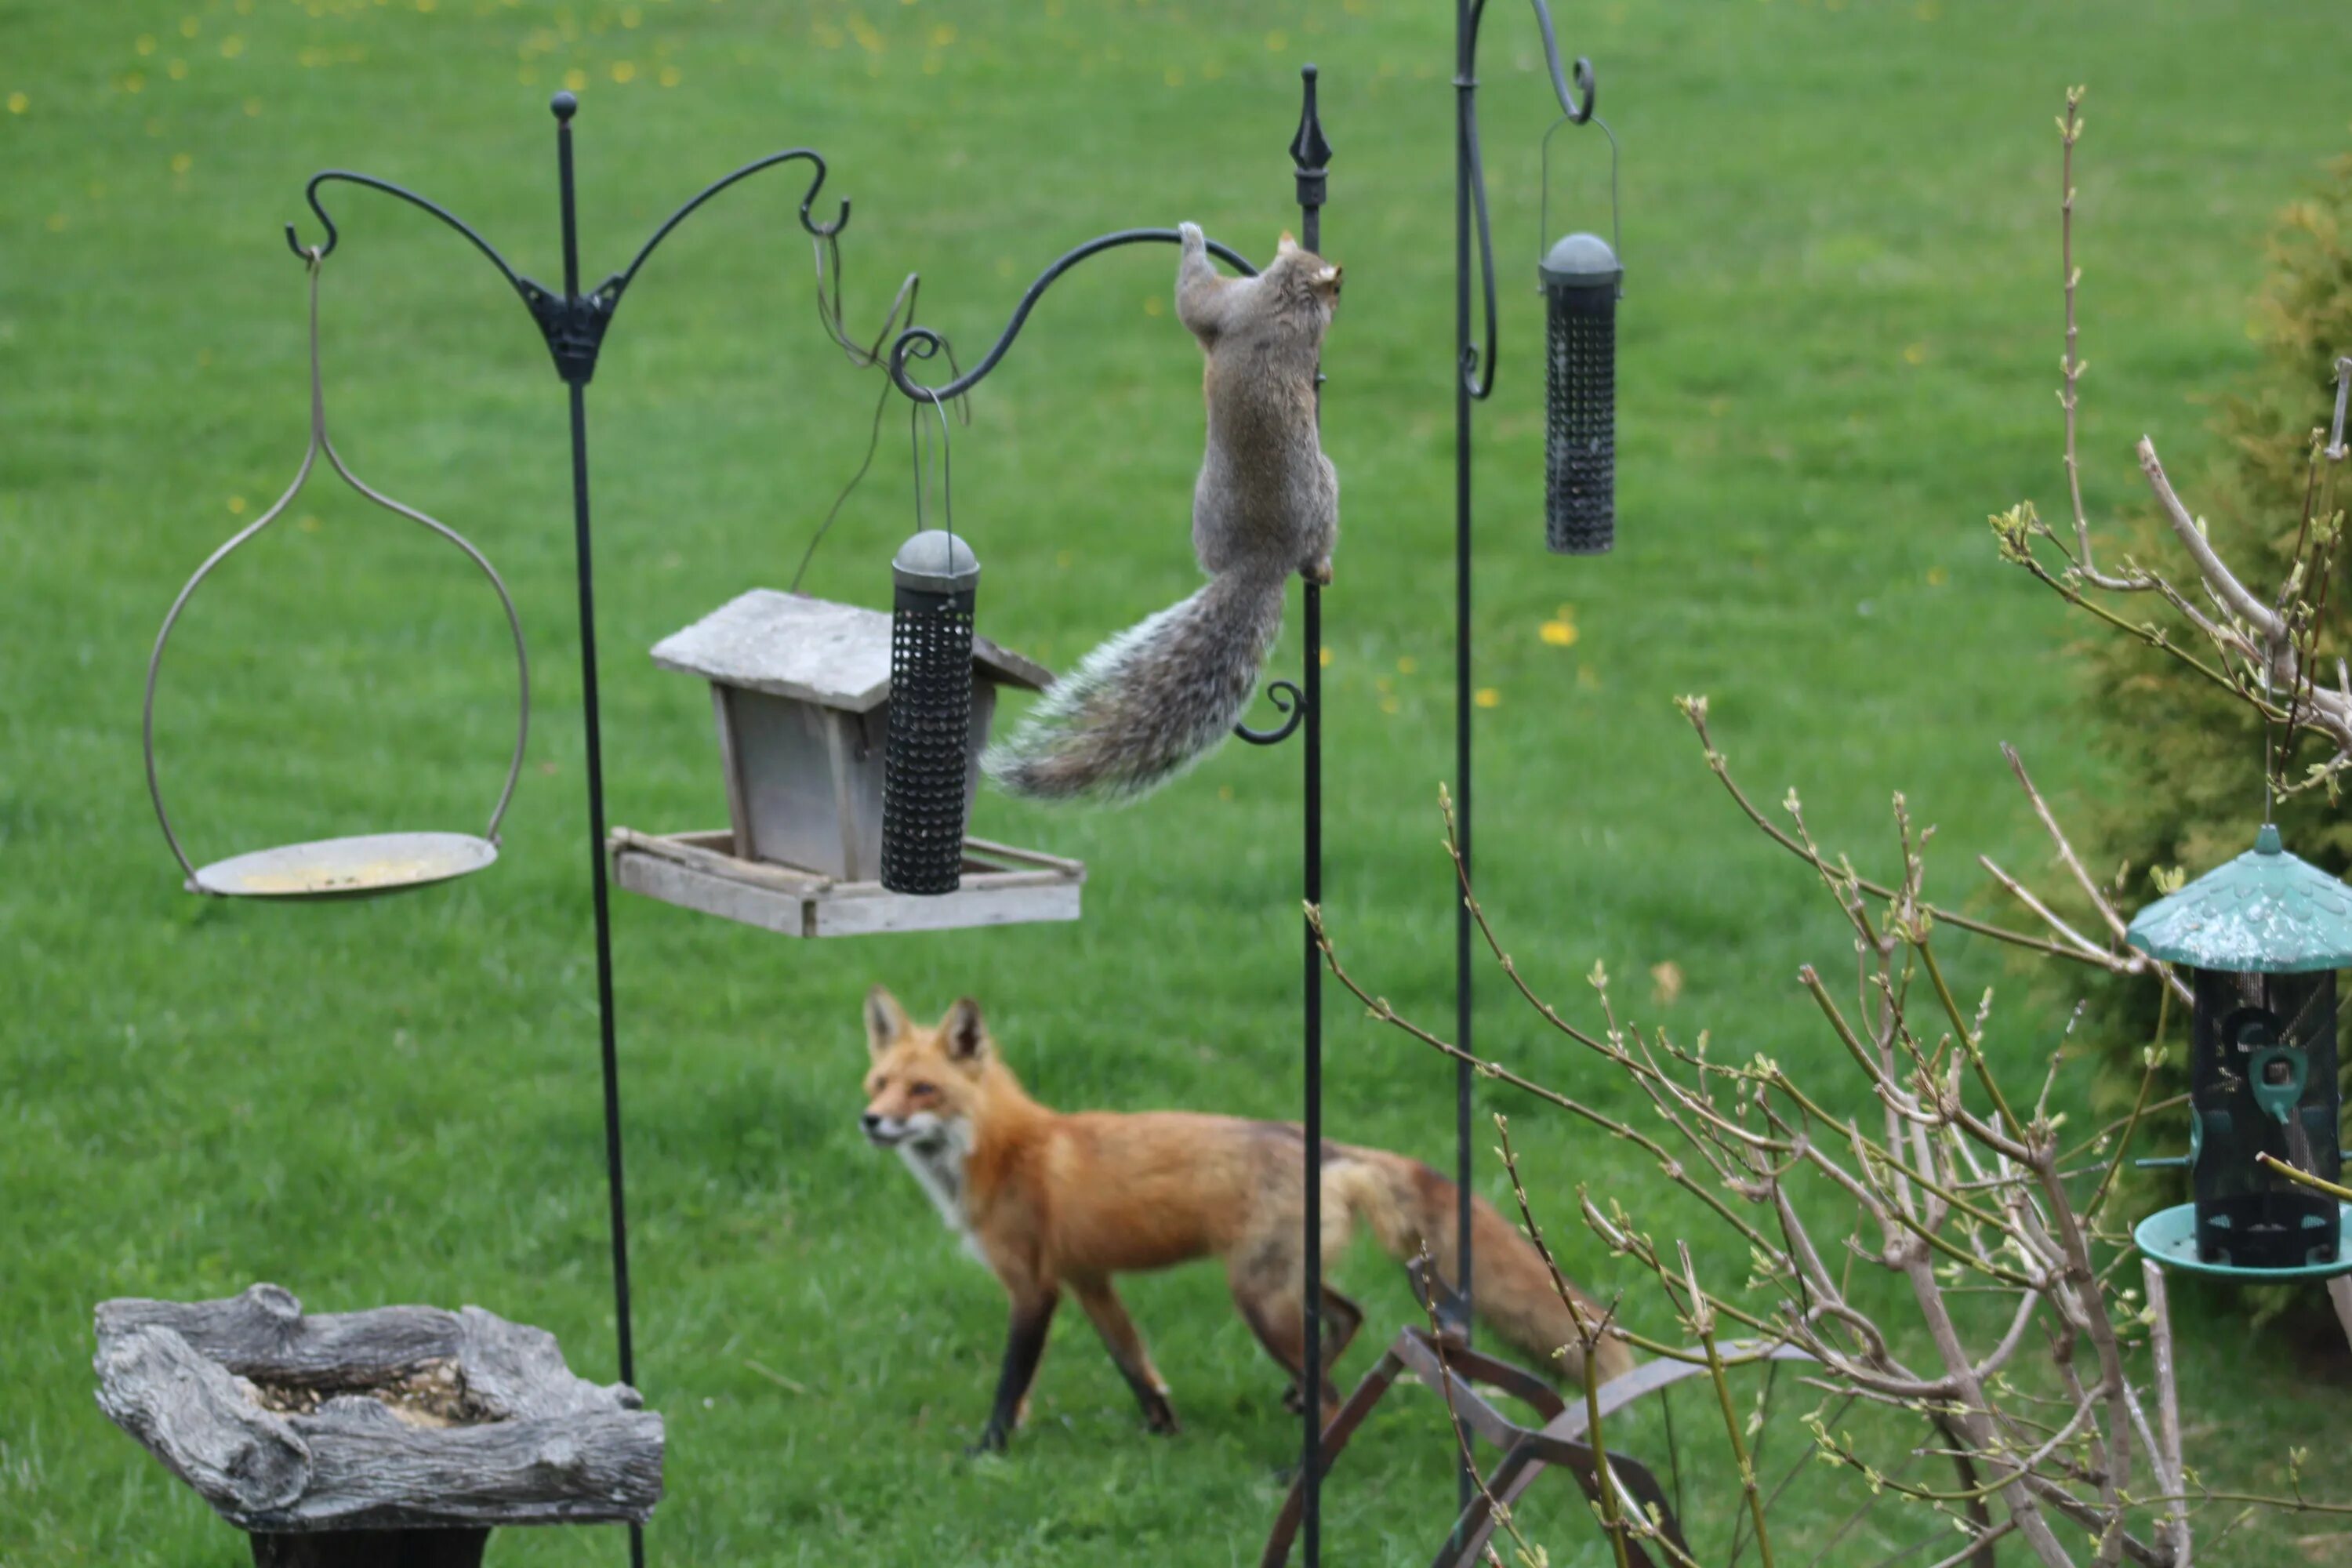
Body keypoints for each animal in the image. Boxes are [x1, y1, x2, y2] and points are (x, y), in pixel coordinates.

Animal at [856, 987, 1628, 1457]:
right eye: (880, 1084)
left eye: (923, 1090)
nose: (870, 1121)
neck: (1007, 1151)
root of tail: (1325, 1144)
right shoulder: (1091, 1279)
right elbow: (1135, 1362)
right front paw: (1163, 1429)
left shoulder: (1034, 1286)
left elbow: (1011, 1381)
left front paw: (988, 1450)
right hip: (1286, 1285)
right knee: (1349, 1319)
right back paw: (1296, 1400)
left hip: (1256, 1297)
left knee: (1334, 1386)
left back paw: (1300, 1465)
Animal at [978, 220, 1345, 804]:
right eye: (1338, 286)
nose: (1341, 294)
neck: (1283, 296)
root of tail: (1264, 558)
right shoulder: (1238, 304)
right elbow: (1194, 300)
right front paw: (1193, 236)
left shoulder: (1228, 306)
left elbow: (1192, 302)